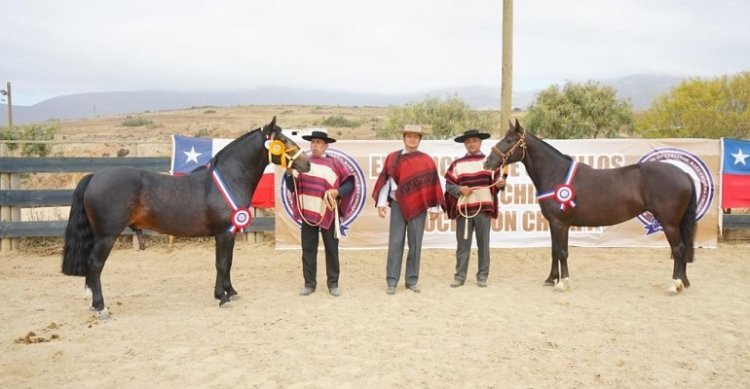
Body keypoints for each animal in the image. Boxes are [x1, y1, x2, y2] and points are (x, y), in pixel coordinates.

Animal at [62, 116, 312, 316]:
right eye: (284, 141)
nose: (307, 163)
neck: (229, 178)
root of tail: (94, 176)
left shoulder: (229, 233)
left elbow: (228, 262)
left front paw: (230, 291)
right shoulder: (223, 233)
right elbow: (222, 263)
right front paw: (222, 297)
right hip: (106, 236)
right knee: (95, 265)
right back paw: (100, 306)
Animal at [488, 119, 700, 292]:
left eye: (509, 140)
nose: (488, 162)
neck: (555, 173)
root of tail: (684, 174)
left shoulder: (560, 223)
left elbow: (562, 252)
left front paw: (564, 283)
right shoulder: (553, 223)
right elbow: (555, 250)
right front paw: (551, 279)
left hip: (669, 223)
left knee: (678, 249)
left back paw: (674, 284)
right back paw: (683, 282)